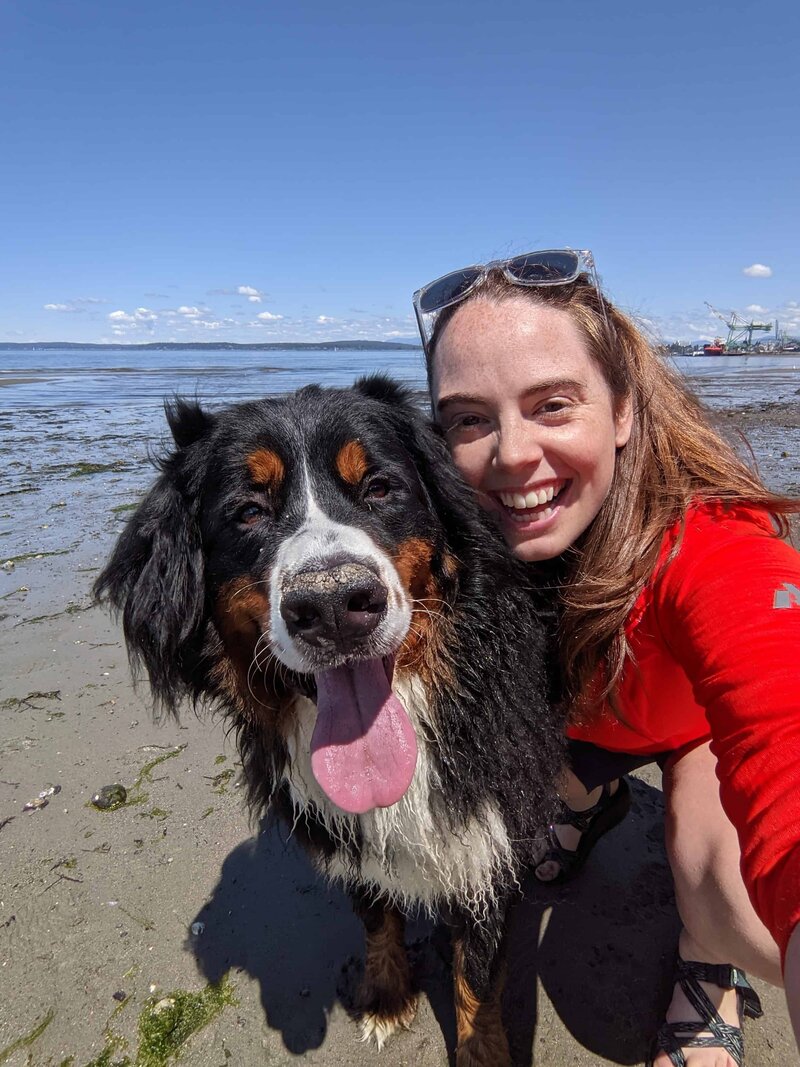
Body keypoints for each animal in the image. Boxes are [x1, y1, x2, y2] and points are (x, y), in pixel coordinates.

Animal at [97, 377, 567, 1067]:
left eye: (379, 487)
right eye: (248, 512)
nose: (334, 604)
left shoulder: (489, 840)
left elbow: (476, 978)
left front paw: (480, 1052)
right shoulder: (340, 828)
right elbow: (375, 916)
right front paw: (386, 997)